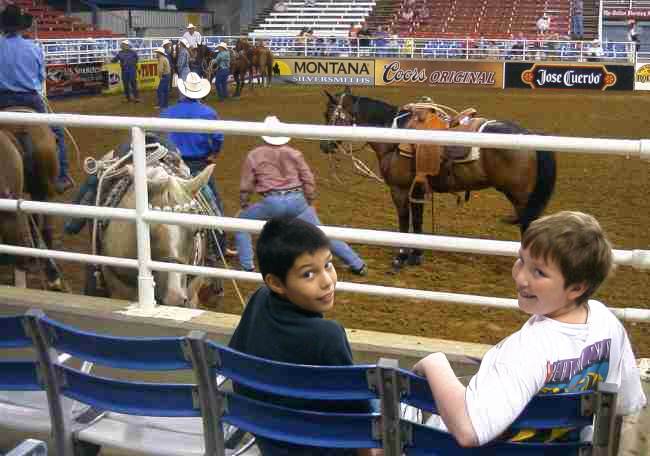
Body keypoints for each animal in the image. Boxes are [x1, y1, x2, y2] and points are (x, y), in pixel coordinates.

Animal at [322, 87, 556, 268]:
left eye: (329, 115)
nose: (324, 146)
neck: (393, 136)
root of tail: (528, 134)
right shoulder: (417, 188)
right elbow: (417, 221)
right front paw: (416, 255)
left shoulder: (399, 189)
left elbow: (404, 221)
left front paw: (401, 257)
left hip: (521, 198)